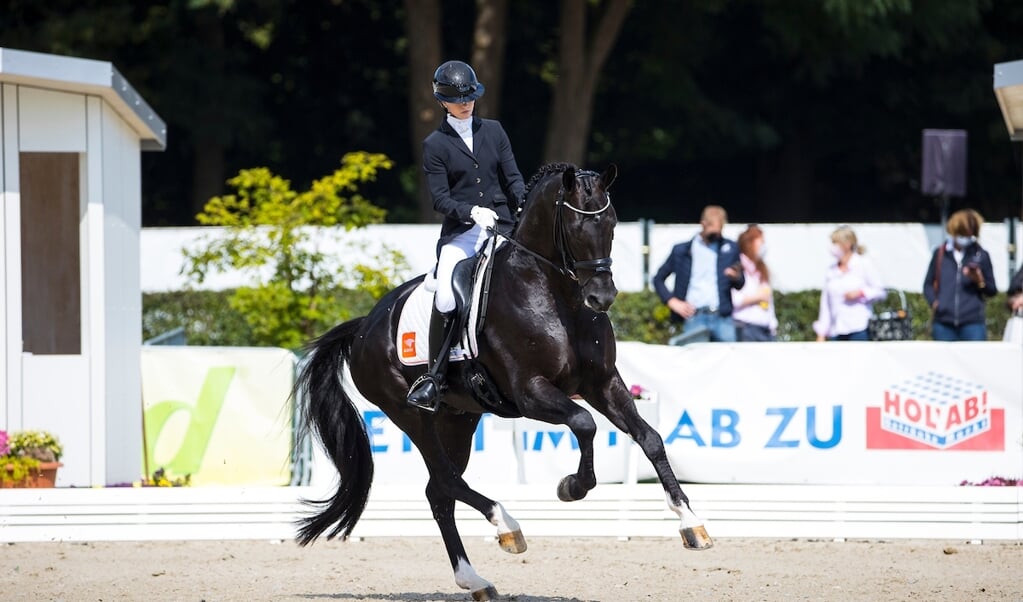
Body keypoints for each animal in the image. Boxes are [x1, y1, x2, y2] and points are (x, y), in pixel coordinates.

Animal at [296, 161, 712, 597]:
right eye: (575, 227)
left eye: (612, 223)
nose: (602, 297)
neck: (557, 296)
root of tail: (365, 325)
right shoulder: (530, 392)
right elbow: (584, 423)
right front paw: (571, 487)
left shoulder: (602, 384)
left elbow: (650, 438)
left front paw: (692, 524)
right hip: (410, 414)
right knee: (445, 479)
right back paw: (506, 527)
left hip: (458, 418)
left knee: (438, 491)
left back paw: (476, 580)